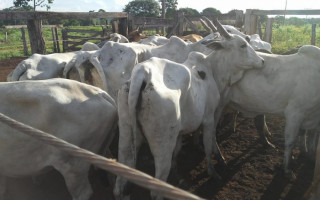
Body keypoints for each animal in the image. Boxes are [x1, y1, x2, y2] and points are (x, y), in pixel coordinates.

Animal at [114, 19, 264, 199]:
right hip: (162, 144)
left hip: (126, 135)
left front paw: (176, 168)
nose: (262, 61)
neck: (212, 69)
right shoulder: (209, 118)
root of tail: (142, 73)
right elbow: (208, 144)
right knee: (156, 188)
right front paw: (213, 170)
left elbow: (178, 149)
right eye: (242, 45)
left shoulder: (180, 130)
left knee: (120, 181)